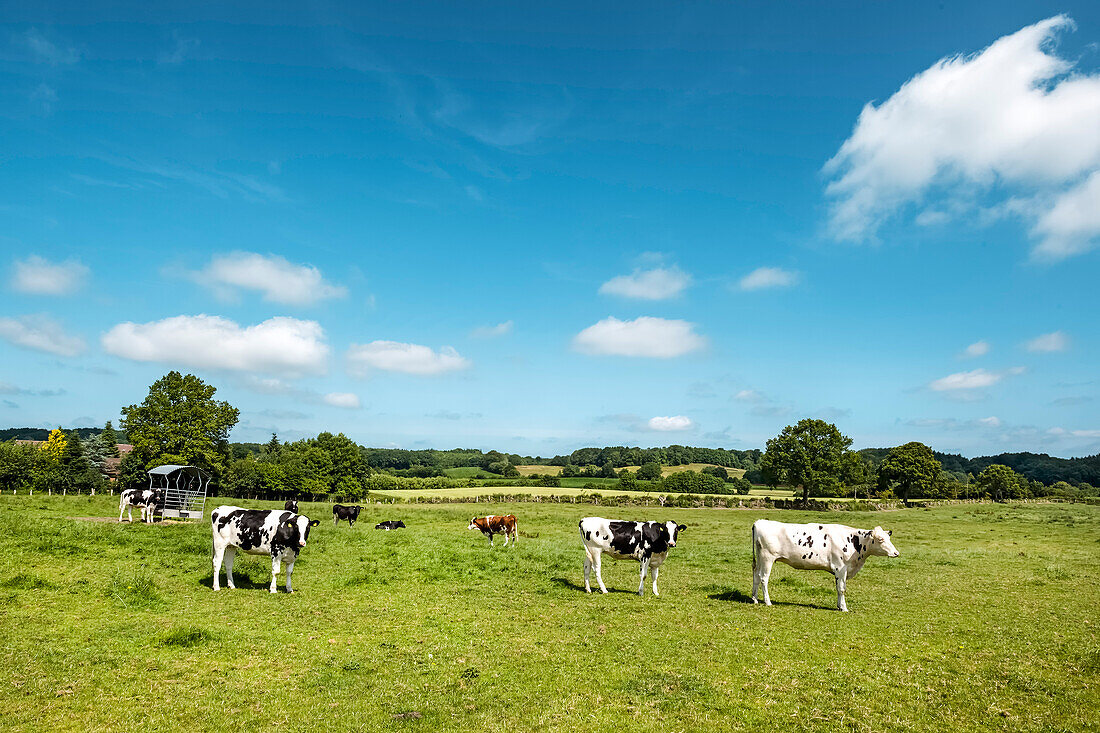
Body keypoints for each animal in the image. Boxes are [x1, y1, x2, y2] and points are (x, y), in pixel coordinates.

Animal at [748, 519, 902, 611]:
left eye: (888, 538)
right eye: (880, 539)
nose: (896, 553)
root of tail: (760, 522)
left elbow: (839, 588)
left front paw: (839, 606)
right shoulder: (840, 568)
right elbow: (841, 589)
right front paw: (844, 608)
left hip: (760, 558)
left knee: (756, 575)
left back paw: (755, 599)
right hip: (767, 558)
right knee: (764, 578)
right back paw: (767, 601)